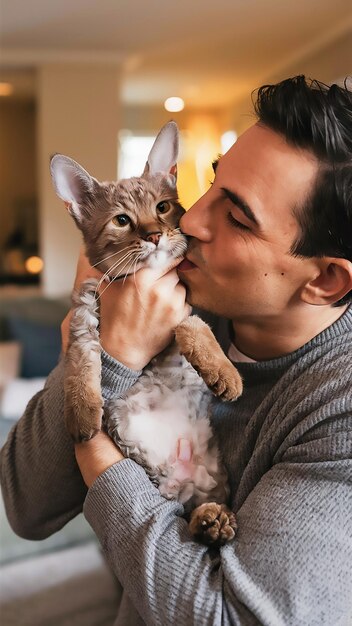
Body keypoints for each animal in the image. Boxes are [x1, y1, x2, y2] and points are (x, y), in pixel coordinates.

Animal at [50, 119, 242, 544]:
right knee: (182, 509)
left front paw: (223, 371)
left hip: (209, 477)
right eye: (122, 220)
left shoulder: (187, 302)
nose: (154, 235)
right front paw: (82, 411)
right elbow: (82, 363)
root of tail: (183, 469)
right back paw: (209, 521)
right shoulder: (82, 311)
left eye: (162, 207)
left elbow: (194, 326)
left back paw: (214, 520)